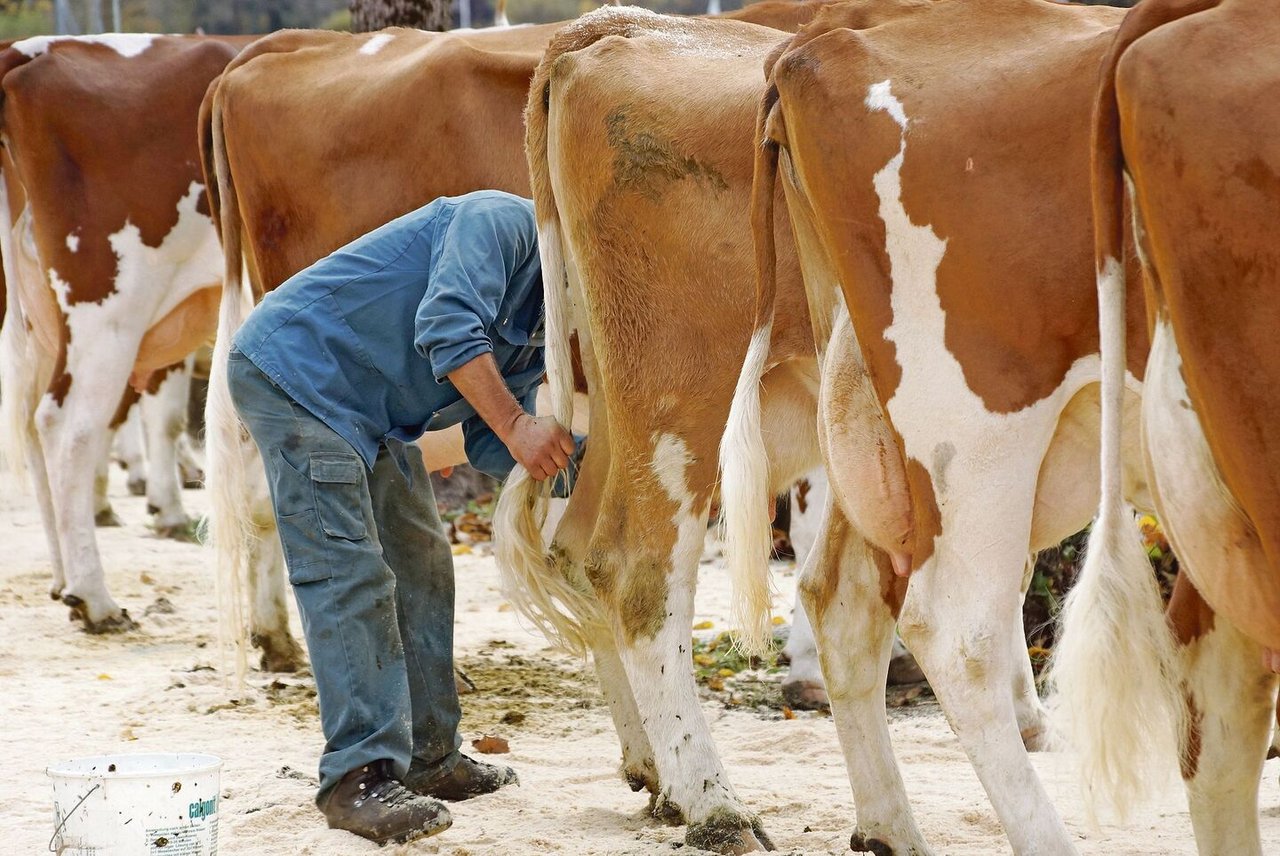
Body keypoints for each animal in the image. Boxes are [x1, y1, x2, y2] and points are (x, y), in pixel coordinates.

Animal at [727, 1, 1157, 854]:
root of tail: (817, 44)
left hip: (871, 415)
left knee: (843, 596)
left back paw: (889, 826)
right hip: (979, 435)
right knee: (957, 632)